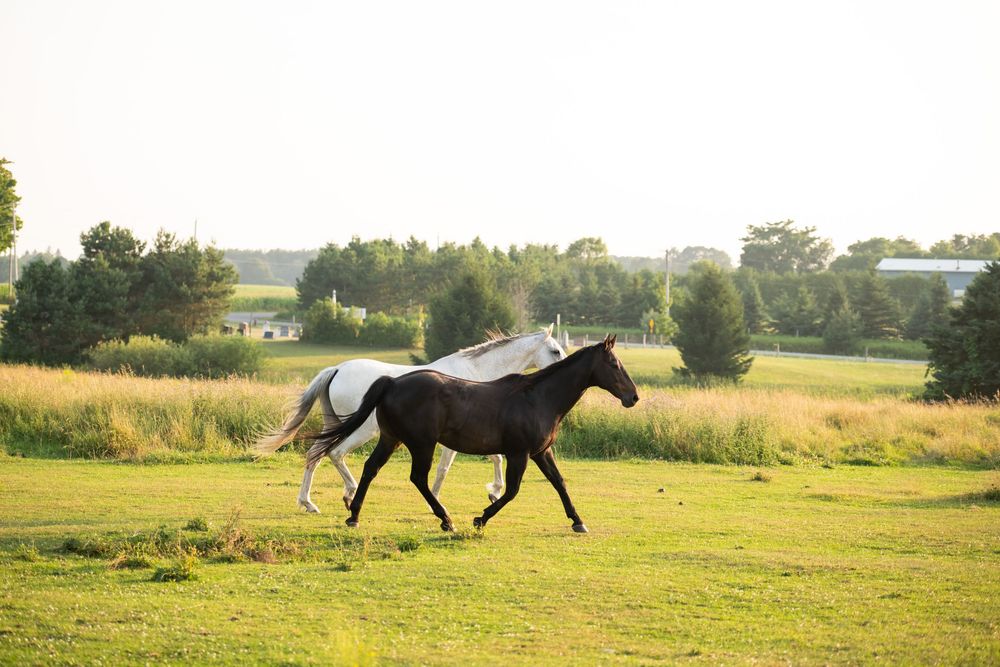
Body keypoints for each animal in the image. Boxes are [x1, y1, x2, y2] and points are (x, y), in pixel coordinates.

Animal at [254, 326, 567, 513]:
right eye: (555, 350)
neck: (475, 374)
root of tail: (337, 368)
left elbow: (494, 458)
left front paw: (491, 491)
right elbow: (445, 469)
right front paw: (439, 503)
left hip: (335, 426)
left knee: (314, 455)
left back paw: (308, 503)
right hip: (360, 431)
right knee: (336, 454)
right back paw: (348, 495)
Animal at [305, 334, 638, 533]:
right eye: (613, 364)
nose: (633, 397)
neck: (538, 397)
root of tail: (391, 382)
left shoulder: (541, 452)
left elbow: (559, 483)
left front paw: (578, 522)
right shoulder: (518, 453)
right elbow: (511, 489)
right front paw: (481, 516)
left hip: (390, 438)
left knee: (367, 467)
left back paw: (352, 514)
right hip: (418, 443)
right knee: (412, 476)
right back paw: (445, 519)